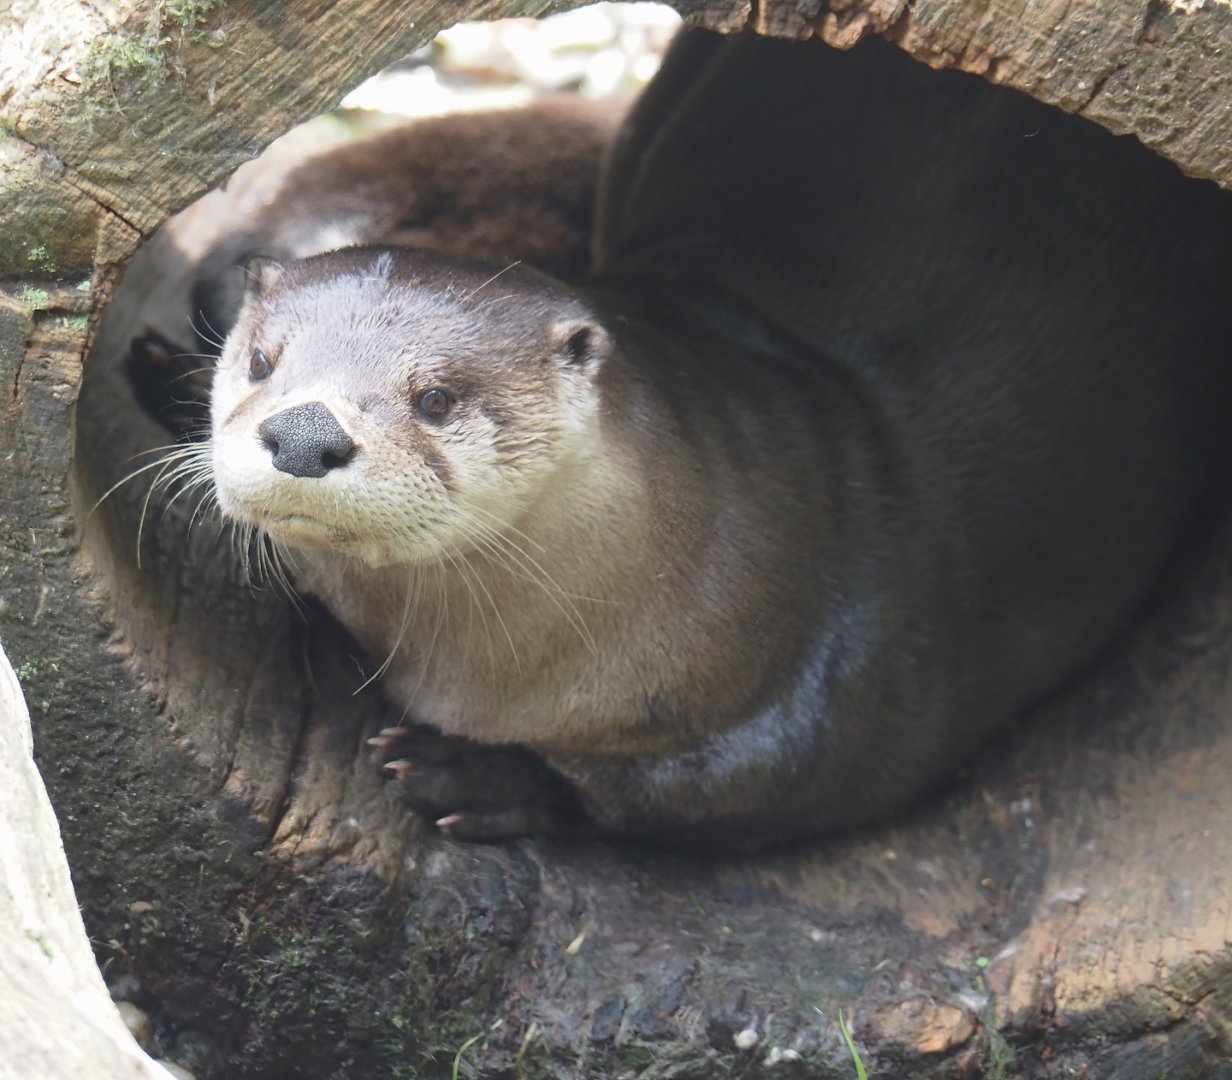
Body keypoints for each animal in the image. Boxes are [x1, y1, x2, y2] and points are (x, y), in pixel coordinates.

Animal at [206, 29, 1232, 848]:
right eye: (261, 361)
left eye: (437, 397)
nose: (304, 432)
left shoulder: (824, 708)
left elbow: (699, 794)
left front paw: (470, 773)